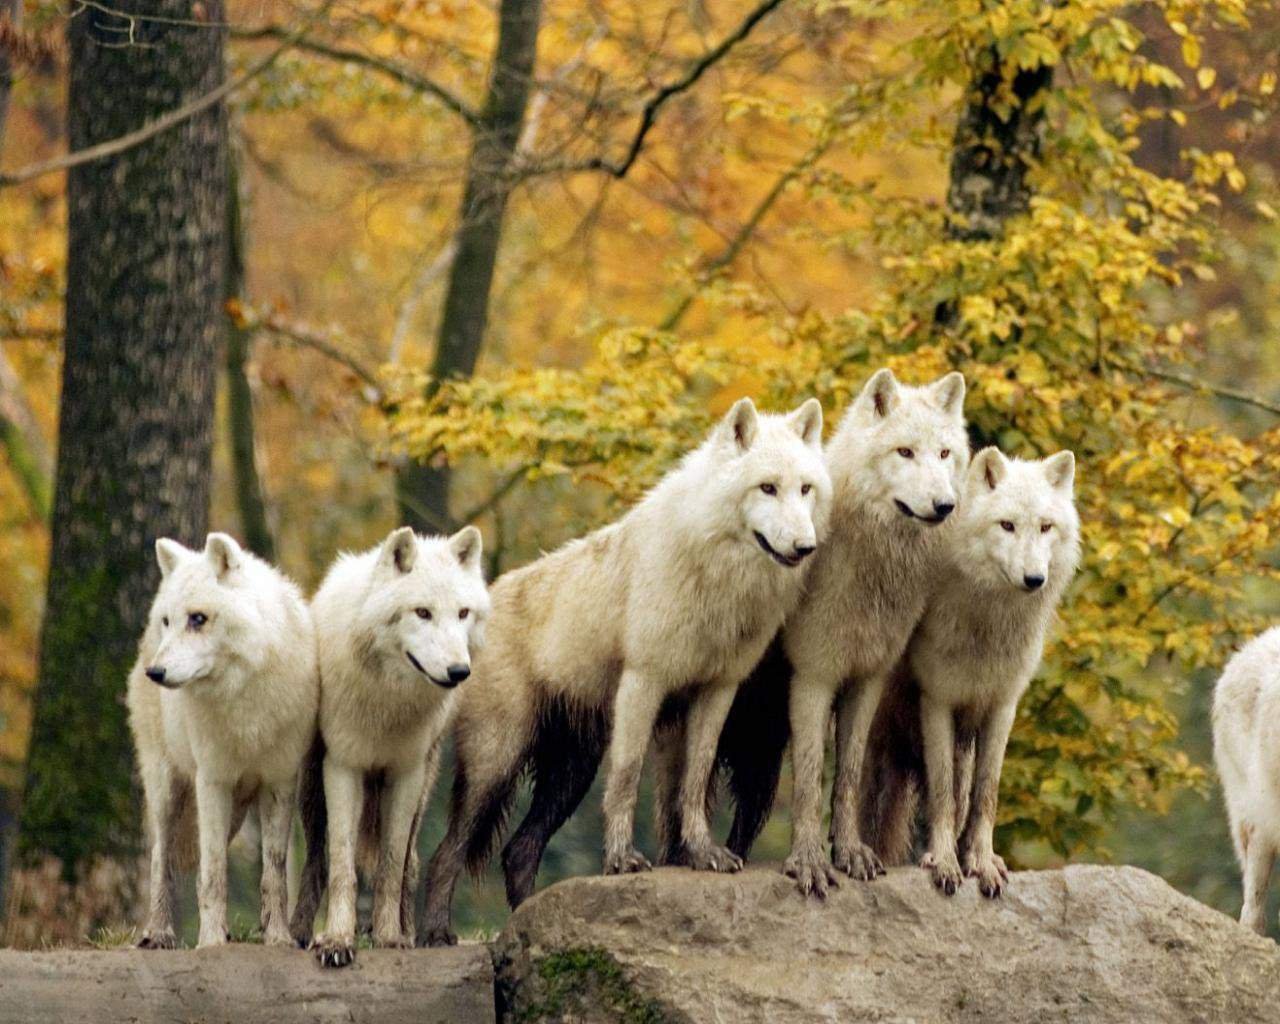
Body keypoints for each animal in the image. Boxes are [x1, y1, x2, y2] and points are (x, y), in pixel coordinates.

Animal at [127, 533, 318, 949]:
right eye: (169, 621)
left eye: (197, 619)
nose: (155, 672)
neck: (243, 697)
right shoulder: (212, 780)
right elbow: (214, 872)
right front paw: (211, 942)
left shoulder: (280, 781)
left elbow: (274, 872)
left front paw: (278, 938)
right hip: (168, 789)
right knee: (160, 856)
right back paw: (158, 932)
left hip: (235, 810)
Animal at [289, 526, 490, 968]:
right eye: (422, 612)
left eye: (463, 613)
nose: (459, 671)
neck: (389, 701)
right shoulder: (343, 766)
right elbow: (342, 865)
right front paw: (337, 941)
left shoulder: (406, 772)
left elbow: (391, 865)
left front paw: (389, 939)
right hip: (312, 790)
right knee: (316, 861)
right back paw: (297, 933)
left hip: (423, 786)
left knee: (411, 863)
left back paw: (410, 932)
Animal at [416, 396, 831, 945]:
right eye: (767, 487)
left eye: (805, 489)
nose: (806, 547)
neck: (718, 578)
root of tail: (473, 609)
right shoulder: (643, 681)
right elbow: (629, 775)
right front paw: (620, 860)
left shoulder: (717, 690)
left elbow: (694, 780)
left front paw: (703, 853)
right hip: (496, 763)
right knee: (447, 851)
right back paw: (435, 932)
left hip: (571, 773)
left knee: (518, 851)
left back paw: (529, 930)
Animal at [714, 368, 969, 897]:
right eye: (905, 452)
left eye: (944, 454)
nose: (944, 505)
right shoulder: (814, 679)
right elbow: (813, 780)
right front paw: (810, 863)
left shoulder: (865, 681)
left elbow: (845, 778)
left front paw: (850, 853)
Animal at [861, 447, 1080, 897]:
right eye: (1007, 525)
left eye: (1045, 527)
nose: (1034, 578)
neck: (989, 625)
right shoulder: (937, 701)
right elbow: (942, 796)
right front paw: (944, 862)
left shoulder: (1001, 706)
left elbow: (985, 796)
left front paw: (981, 862)